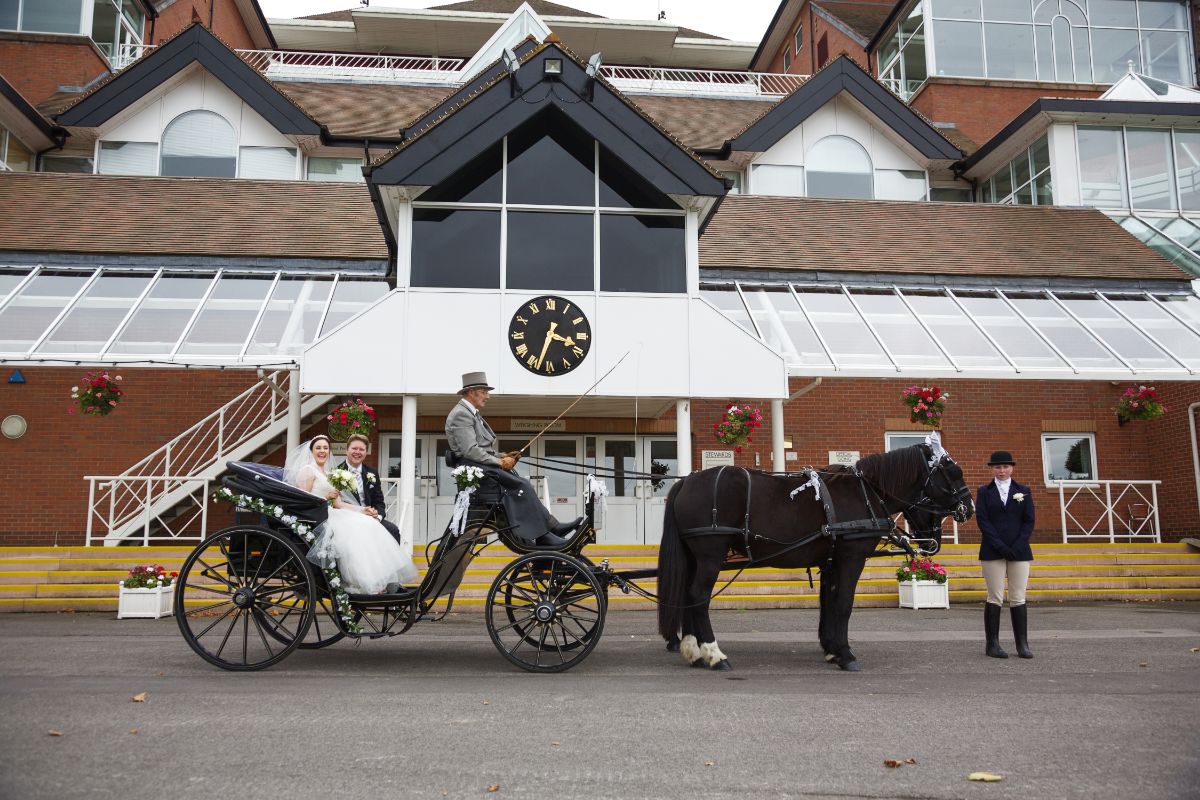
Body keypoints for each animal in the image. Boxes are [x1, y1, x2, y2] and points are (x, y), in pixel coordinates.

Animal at [657, 448, 974, 671]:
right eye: (953, 472)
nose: (968, 508)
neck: (864, 493)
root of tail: (687, 481)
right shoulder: (852, 558)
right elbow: (844, 603)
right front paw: (846, 654)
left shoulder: (832, 561)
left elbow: (830, 603)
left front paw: (832, 648)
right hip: (710, 556)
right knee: (698, 597)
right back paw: (714, 654)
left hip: (696, 558)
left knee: (688, 596)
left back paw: (693, 652)